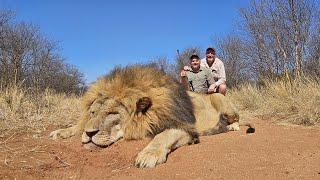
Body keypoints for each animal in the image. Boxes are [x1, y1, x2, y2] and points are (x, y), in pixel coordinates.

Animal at [50, 64, 255, 167]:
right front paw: (62, 131)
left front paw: (148, 155)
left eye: (112, 113)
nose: (90, 134)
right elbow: (77, 125)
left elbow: (163, 135)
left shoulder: (184, 126)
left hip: (220, 98)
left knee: (236, 118)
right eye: (93, 113)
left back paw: (231, 126)